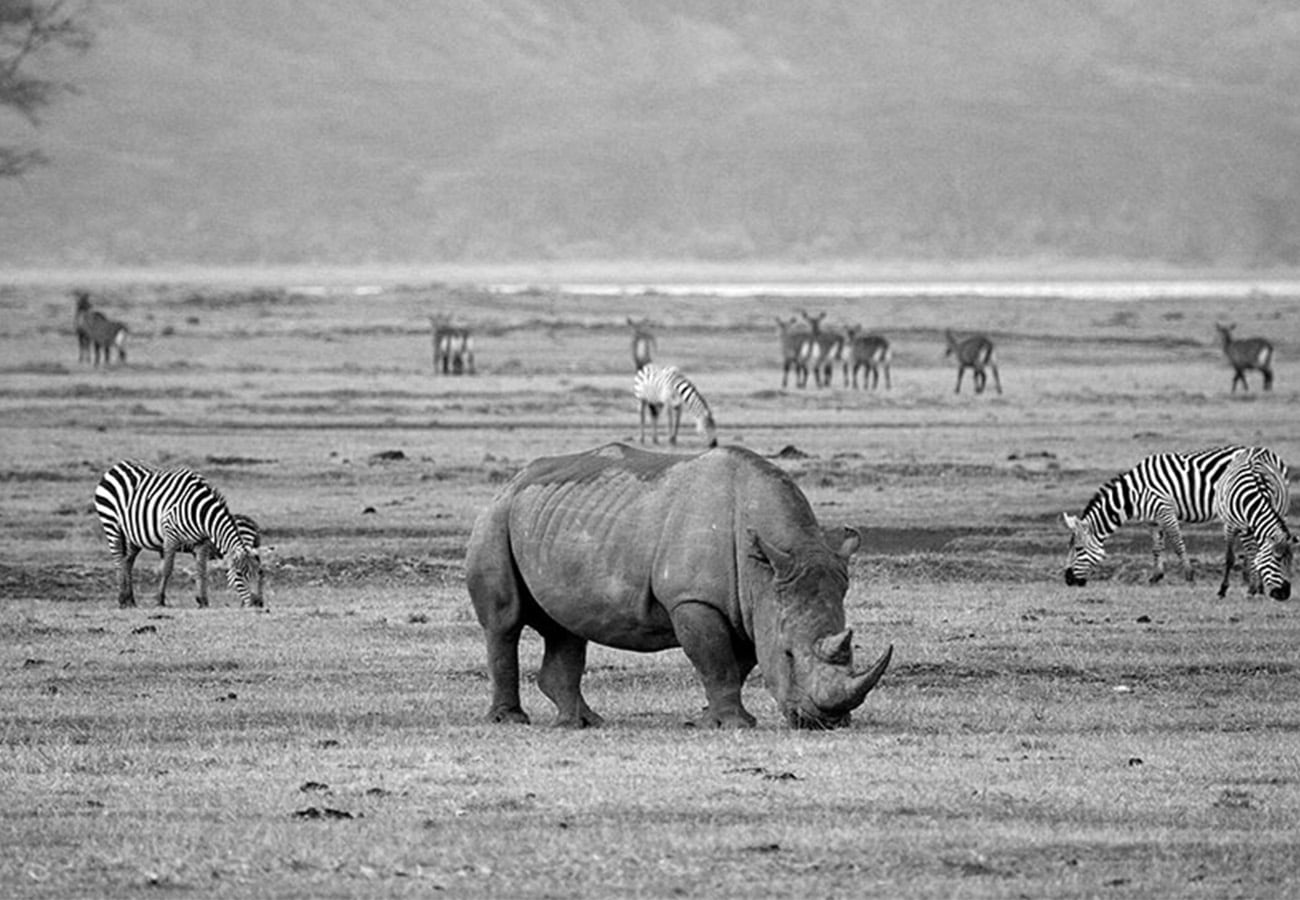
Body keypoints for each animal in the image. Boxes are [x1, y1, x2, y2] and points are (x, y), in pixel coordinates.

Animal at [94, 460, 263, 608]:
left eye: (259, 573)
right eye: (239, 574)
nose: (257, 604)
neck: (201, 513)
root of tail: (117, 466)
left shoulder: (202, 542)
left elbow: (201, 571)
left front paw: (203, 601)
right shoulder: (171, 537)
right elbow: (167, 569)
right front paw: (160, 600)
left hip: (133, 535)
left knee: (127, 562)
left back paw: (130, 600)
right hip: (111, 523)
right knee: (118, 560)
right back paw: (122, 599)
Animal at [1066, 444, 1289, 590]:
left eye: (1078, 549)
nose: (1068, 580)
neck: (1134, 494)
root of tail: (1268, 453)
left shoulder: (1166, 511)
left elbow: (1177, 543)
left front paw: (1189, 576)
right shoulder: (1152, 520)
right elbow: (1157, 547)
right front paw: (1155, 577)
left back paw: (1251, 580)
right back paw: (1248, 577)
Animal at [1211, 447, 1294, 600]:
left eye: (1291, 561)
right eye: (1277, 560)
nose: (1284, 595)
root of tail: (1258, 448)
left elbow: (1256, 557)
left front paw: (1254, 589)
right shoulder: (1233, 526)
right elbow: (1230, 557)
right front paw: (1223, 590)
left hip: (1282, 514)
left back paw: (1258, 588)